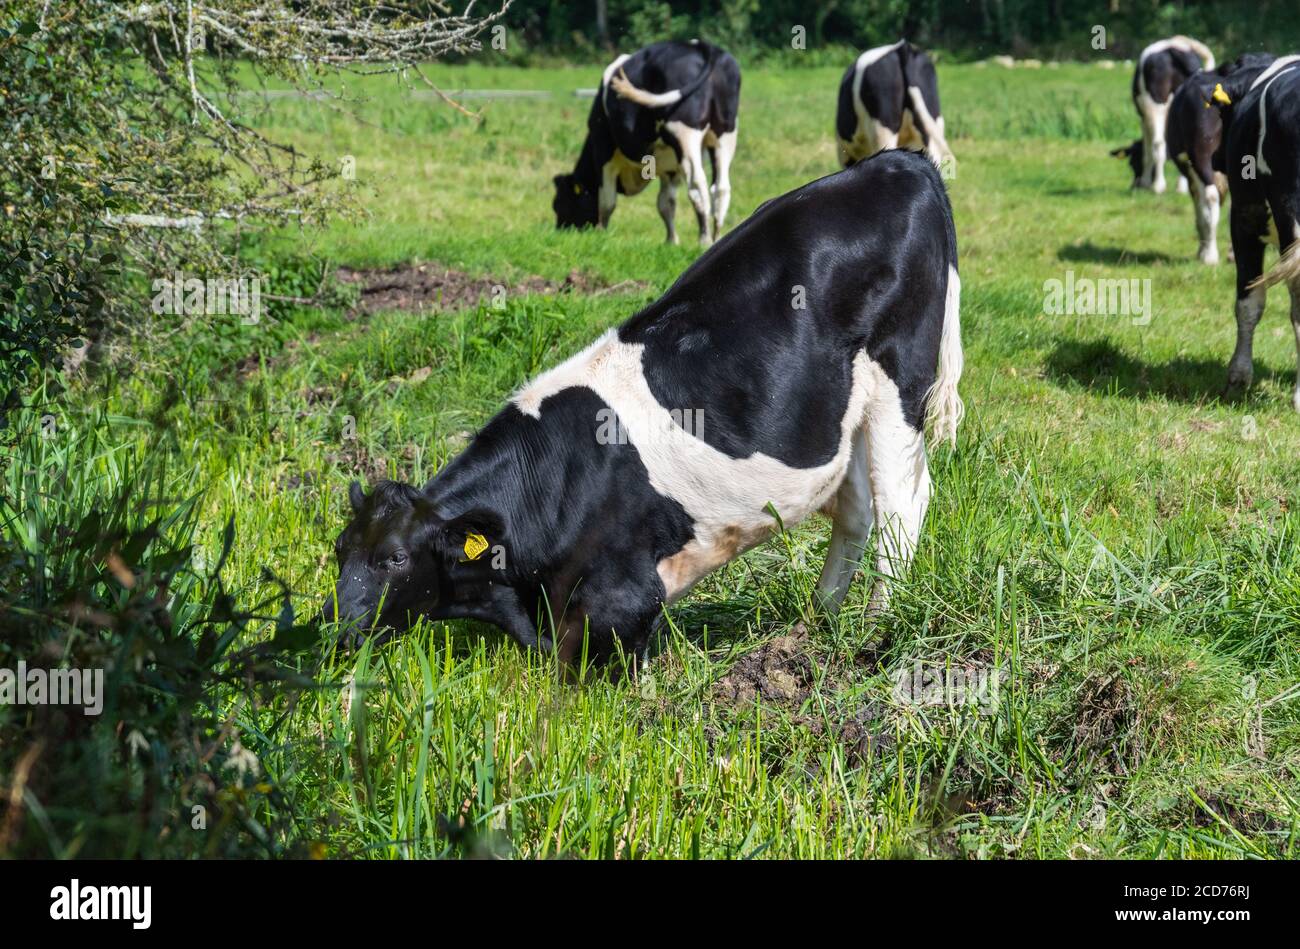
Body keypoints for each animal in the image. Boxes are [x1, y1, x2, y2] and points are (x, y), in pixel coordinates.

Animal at [330, 148, 961, 665]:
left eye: (394, 560)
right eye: (339, 551)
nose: (336, 632)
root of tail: (899, 161)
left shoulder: (623, 600)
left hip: (899, 383)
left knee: (902, 506)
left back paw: (875, 627)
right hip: (843, 412)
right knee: (856, 508)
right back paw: (818, 622)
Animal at [551, 40, 743, 248]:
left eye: (559, 203)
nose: (561, 231)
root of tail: (700, 45)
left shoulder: (603, 149)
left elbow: (607, 200)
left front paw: (601, 234)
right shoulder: (669, 168)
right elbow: (666, 203)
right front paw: (671, 241)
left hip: (684, 132)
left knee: (697, 186)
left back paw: (704, 240)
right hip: (725, 132)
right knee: (721, 188)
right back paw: (717, 238)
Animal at [1123, 35, 1211, 192]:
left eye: (1132, 163)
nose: (1134, 186)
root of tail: (1173, 48)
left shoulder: (1144, 119)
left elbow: (1148, 150)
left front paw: (1147, 182)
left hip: (1154, 106)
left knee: (1158, 143)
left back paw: (1158, 185)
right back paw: (1182, 187)